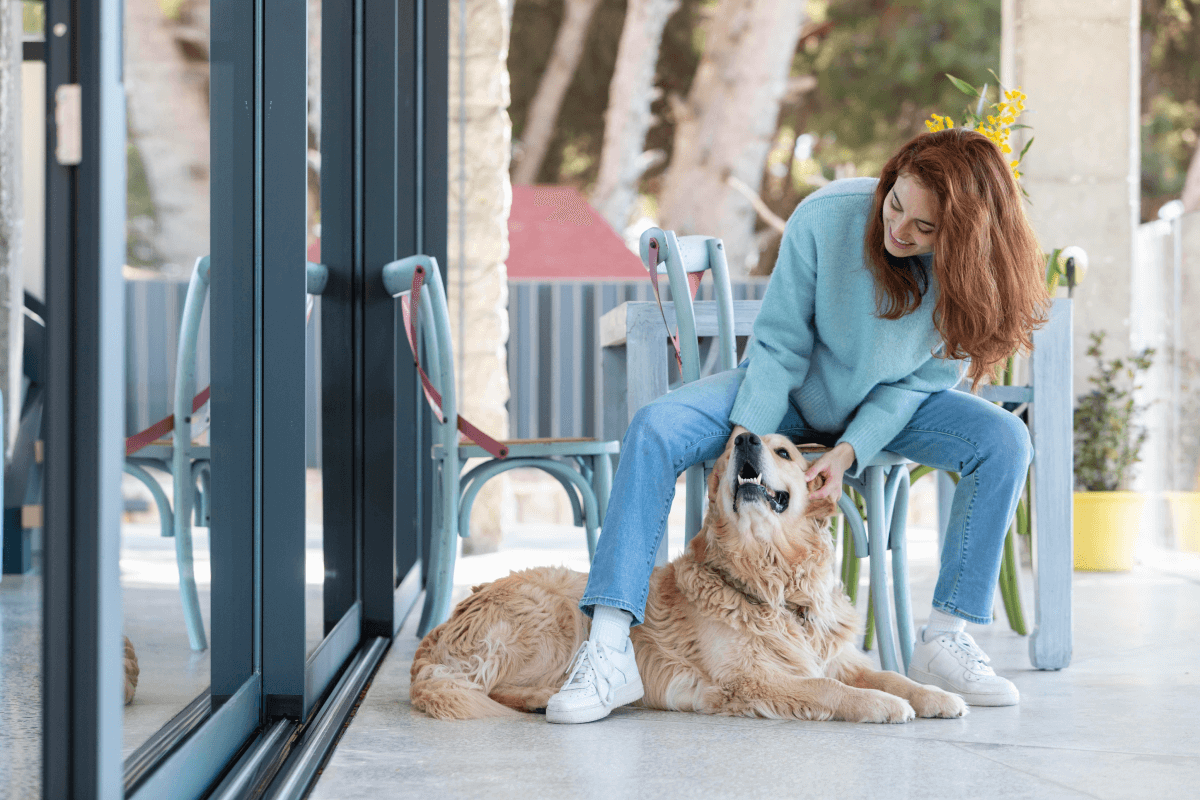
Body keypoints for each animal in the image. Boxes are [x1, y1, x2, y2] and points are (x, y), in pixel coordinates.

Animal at [412, 431, 964, 724]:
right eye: (733, 446)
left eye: (784, 452)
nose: (744, 439)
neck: (772, 583)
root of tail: (436, 633)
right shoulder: (752, 678)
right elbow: (829, 689)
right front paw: (880, 705)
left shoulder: (838, 656)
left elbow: (890, 673)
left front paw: (934, 695)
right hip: (556, 609)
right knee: (490, 689)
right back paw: (549, 698)